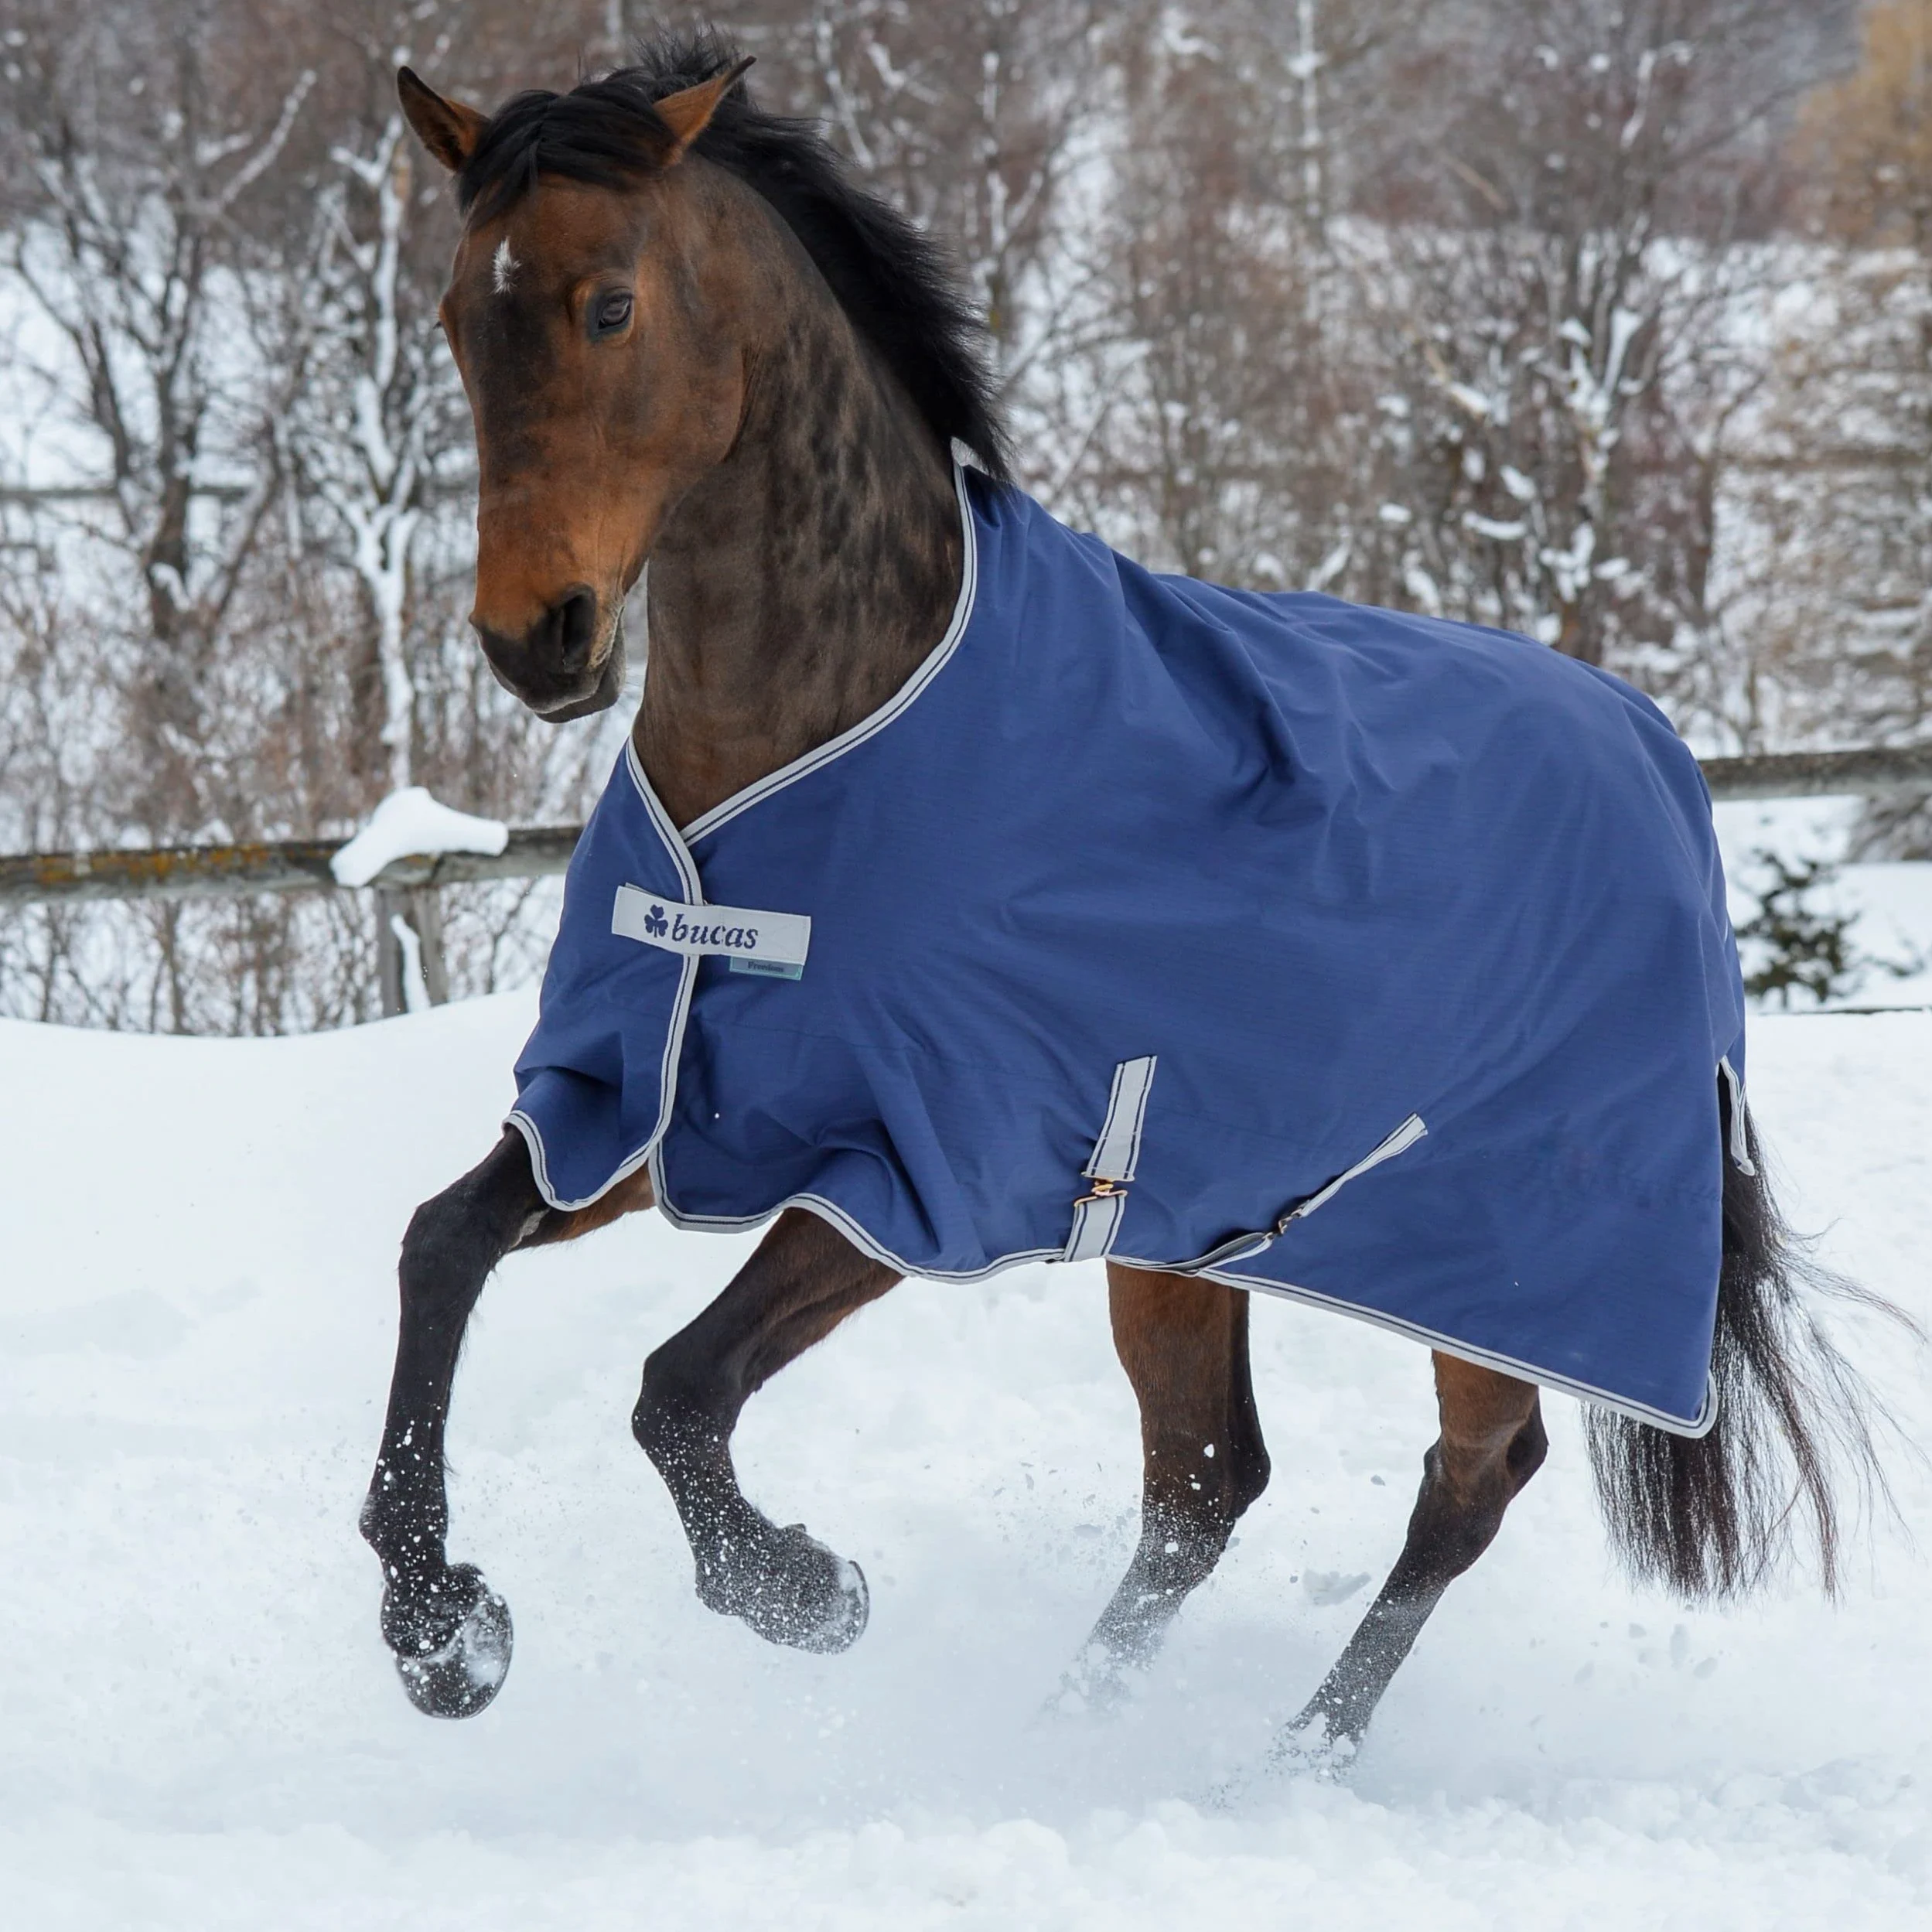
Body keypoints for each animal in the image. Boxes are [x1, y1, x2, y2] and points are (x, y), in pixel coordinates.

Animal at [361, 35, 1882, 1772]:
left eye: (608, 303)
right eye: (457, 312)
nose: (533, 637)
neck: (808, 748)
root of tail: (1660, 759)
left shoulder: (910, 1171)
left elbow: (676, 1388)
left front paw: (806, 1589)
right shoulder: (645, 1102)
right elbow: (440, 1247)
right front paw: (441, 1631)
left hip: (1504, 1257)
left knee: (1467, 1482)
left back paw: (1293, 1757)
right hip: (1184, 1232)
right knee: (1204, 1484)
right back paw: (1065, 1728)